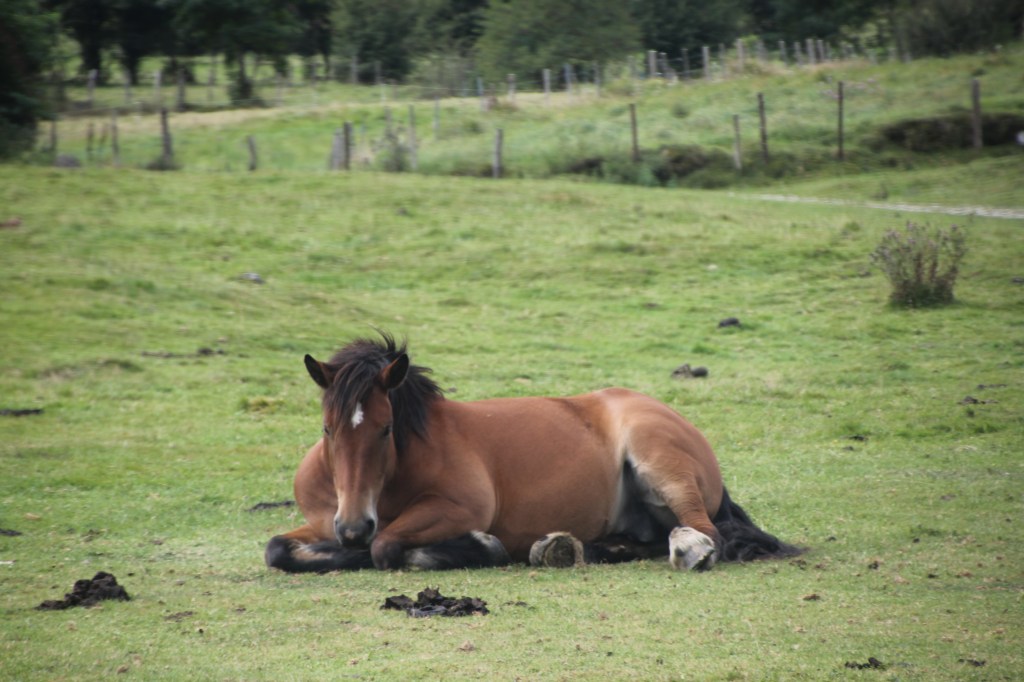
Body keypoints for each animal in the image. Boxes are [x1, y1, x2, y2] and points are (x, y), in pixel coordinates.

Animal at [265, 333, 801, 573]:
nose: (354, 526)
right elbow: (277, 549)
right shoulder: (321, 520)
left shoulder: (459, 509)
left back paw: (685, 550)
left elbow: (386, 549)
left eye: (386, 428)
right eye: (327, 429)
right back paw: (572, 548)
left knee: (705, 534)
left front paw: (481, 547)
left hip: (661, 463)